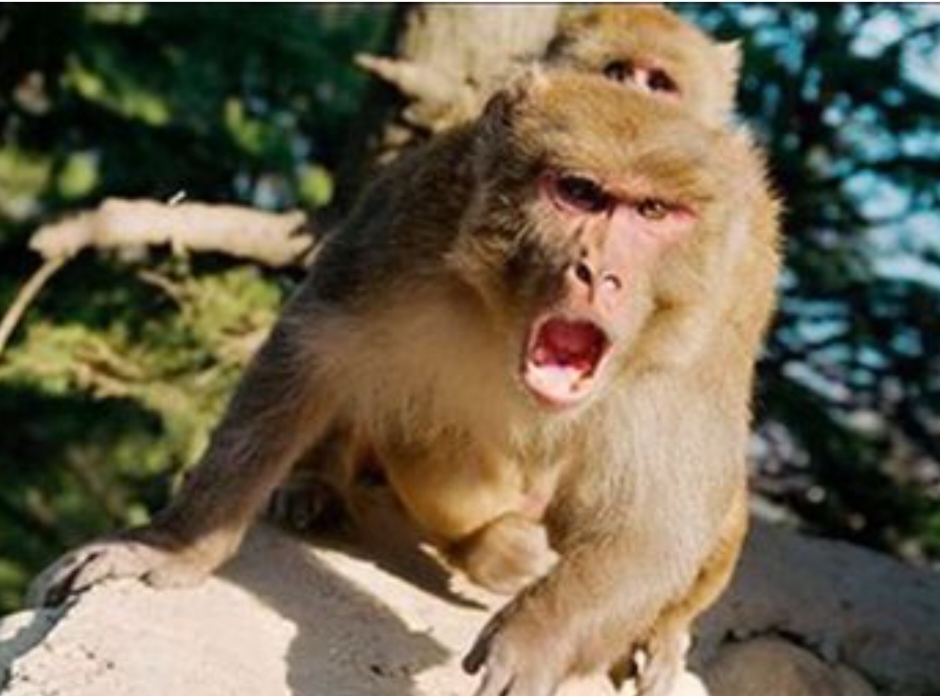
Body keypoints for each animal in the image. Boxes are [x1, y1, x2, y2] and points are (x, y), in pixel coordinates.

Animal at [30, 68, 781, 696]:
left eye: (653, 214)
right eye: (578, 192)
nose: (600, 273)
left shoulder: (698, 345)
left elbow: (662, 519)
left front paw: (539, 635)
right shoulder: (411, 228)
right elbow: (315, 353)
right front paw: (174, 542)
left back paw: (659, 633)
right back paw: (454, 533)